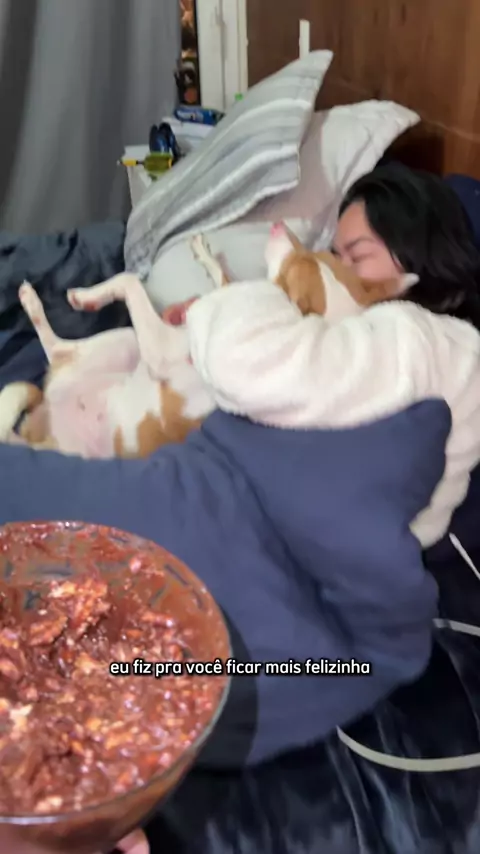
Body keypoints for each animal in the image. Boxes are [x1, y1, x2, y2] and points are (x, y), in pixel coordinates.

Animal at [0, 224, 415, 458]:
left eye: (292, 267)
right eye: (319, 253)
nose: (278, 225)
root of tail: (42, 423)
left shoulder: (162, 350)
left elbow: (129, 280)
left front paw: (92, 294)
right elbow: (220, 277)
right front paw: (204, 252)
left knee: (55, 352)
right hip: (121, 343)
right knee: (56, 349)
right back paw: (32, 300)